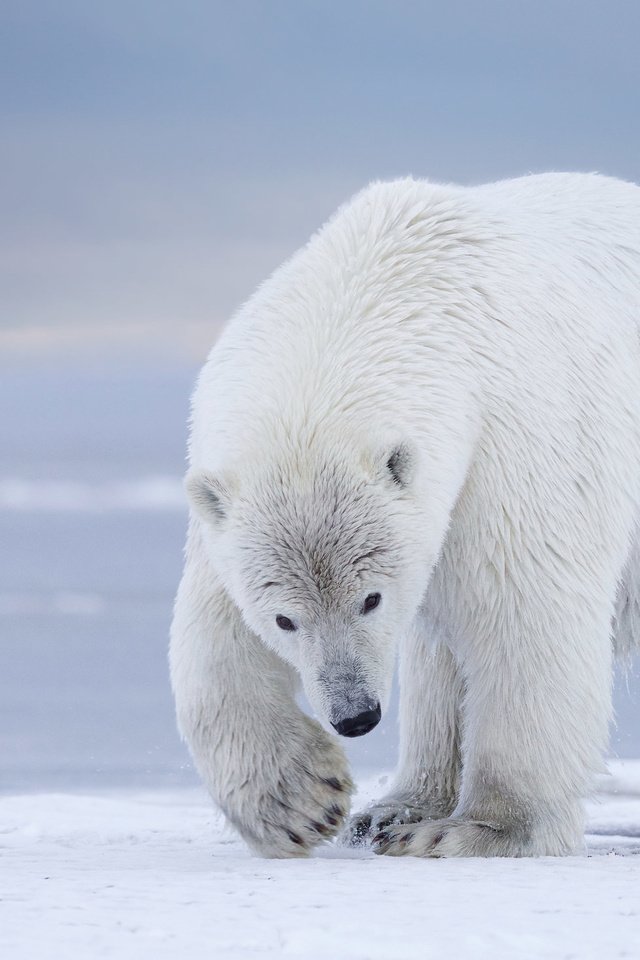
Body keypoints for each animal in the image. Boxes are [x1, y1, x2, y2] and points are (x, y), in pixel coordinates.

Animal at [169, 174, 640, 864]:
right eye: (284, 619)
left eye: (370, 598)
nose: (355, 715)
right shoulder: (225, 502)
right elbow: (213, 630)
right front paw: (300, 801)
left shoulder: (515, 441)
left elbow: (526, 612)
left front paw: (483, 830)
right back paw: (393, 809)